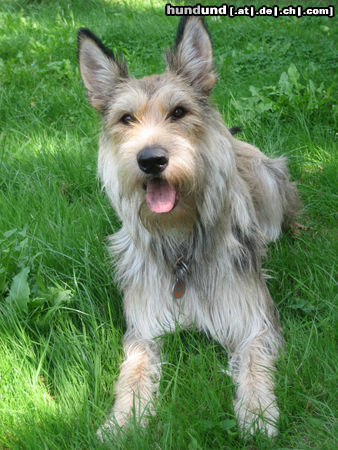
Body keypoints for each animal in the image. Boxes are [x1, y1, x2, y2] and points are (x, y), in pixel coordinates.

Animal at [76, 14, 298, 440]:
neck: (180, 239)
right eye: (126, 119)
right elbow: (133, 371)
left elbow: (253, 363)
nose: (151, 160)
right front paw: (122, 419)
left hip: (269, 177)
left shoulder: (253, 321)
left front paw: (257, 411)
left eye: (178, 112)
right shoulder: (144, 328)